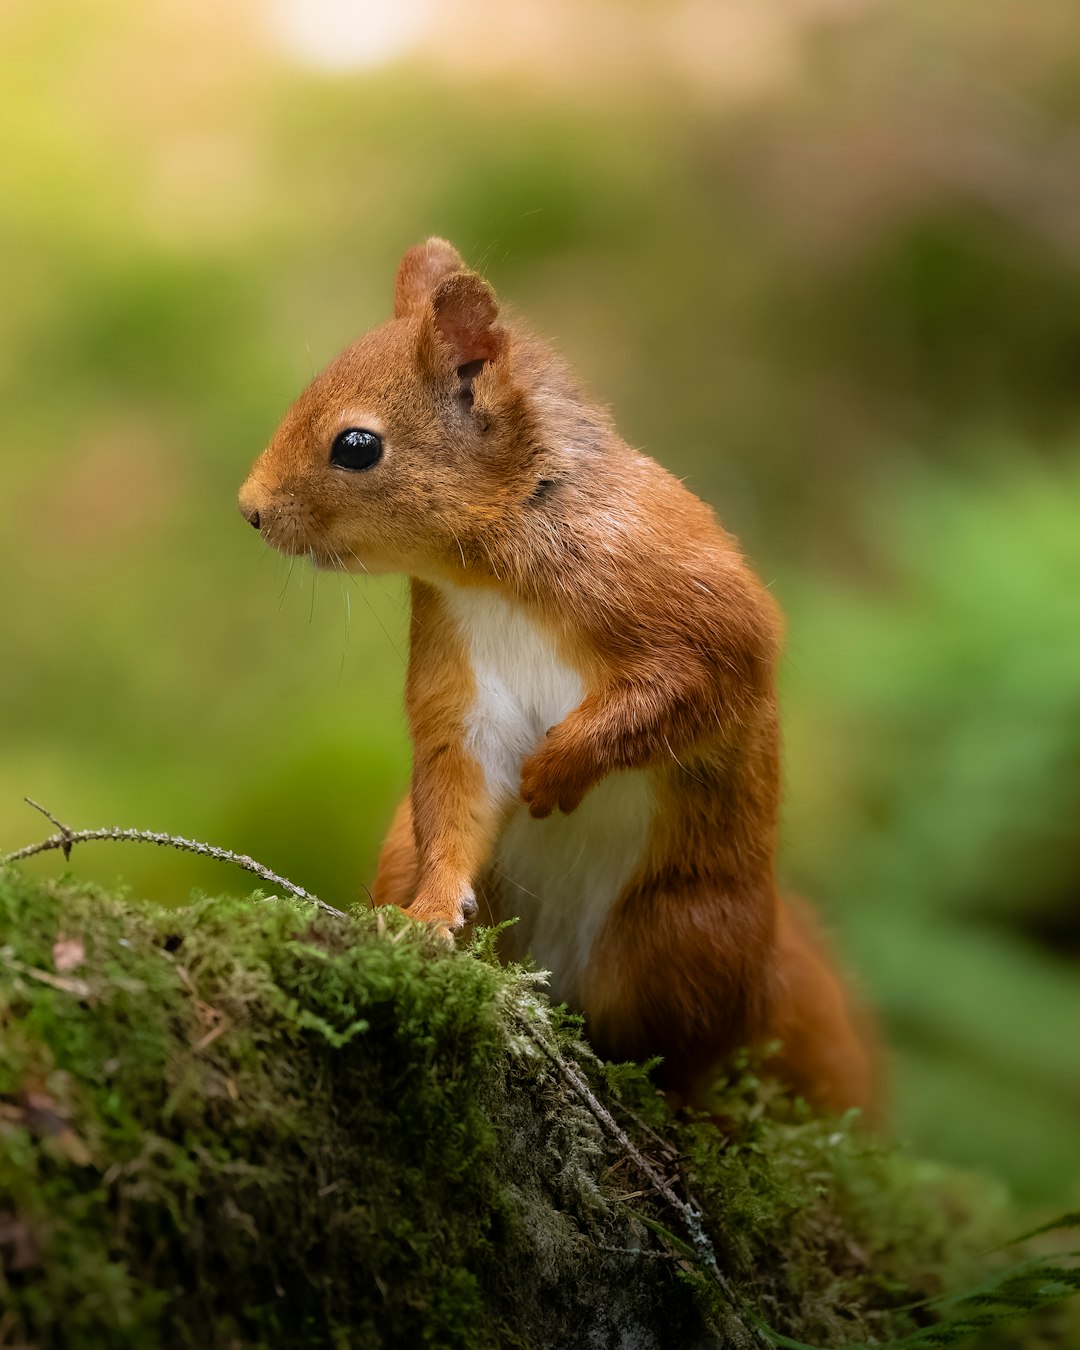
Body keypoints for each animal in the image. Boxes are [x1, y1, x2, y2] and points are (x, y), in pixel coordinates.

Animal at [237, 238, 876, 1116]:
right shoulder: (464, 685)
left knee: (686, 1053)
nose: (250, 509)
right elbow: (459, 788)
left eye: (356, 446)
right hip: (421, 857)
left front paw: (561, 767)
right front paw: (429, 914)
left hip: (686, 935)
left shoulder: (688, 601)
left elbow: (688, 687)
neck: (493, 568)